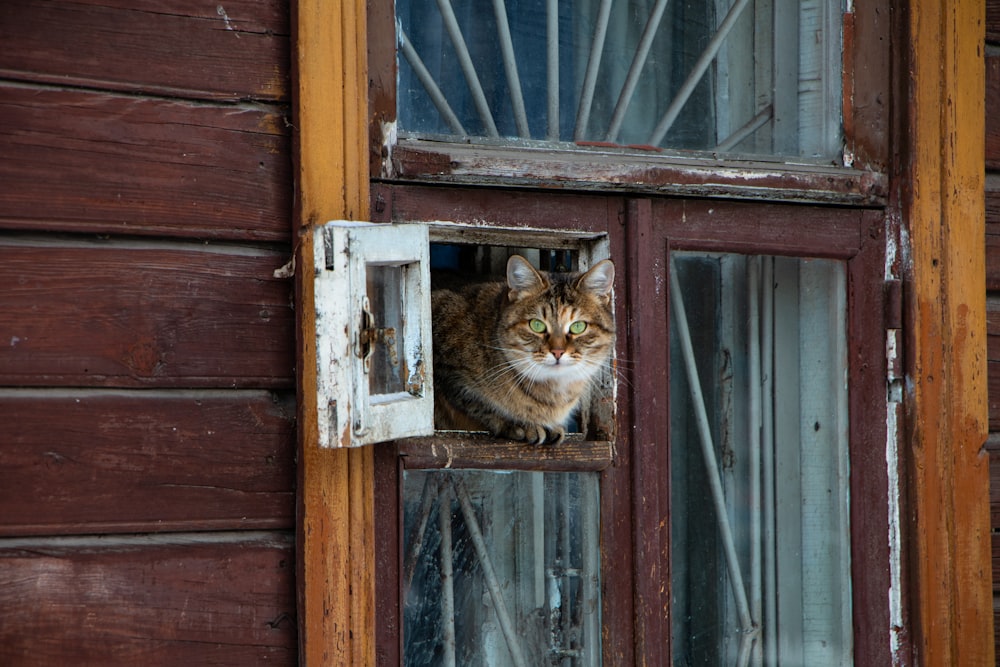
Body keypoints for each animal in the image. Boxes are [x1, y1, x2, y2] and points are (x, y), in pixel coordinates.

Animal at [432, 253, 612, 446]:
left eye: (578, 326)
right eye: (537, 325)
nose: (557, 352)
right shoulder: (445, 369)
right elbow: (477, 403)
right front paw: (519, 424)